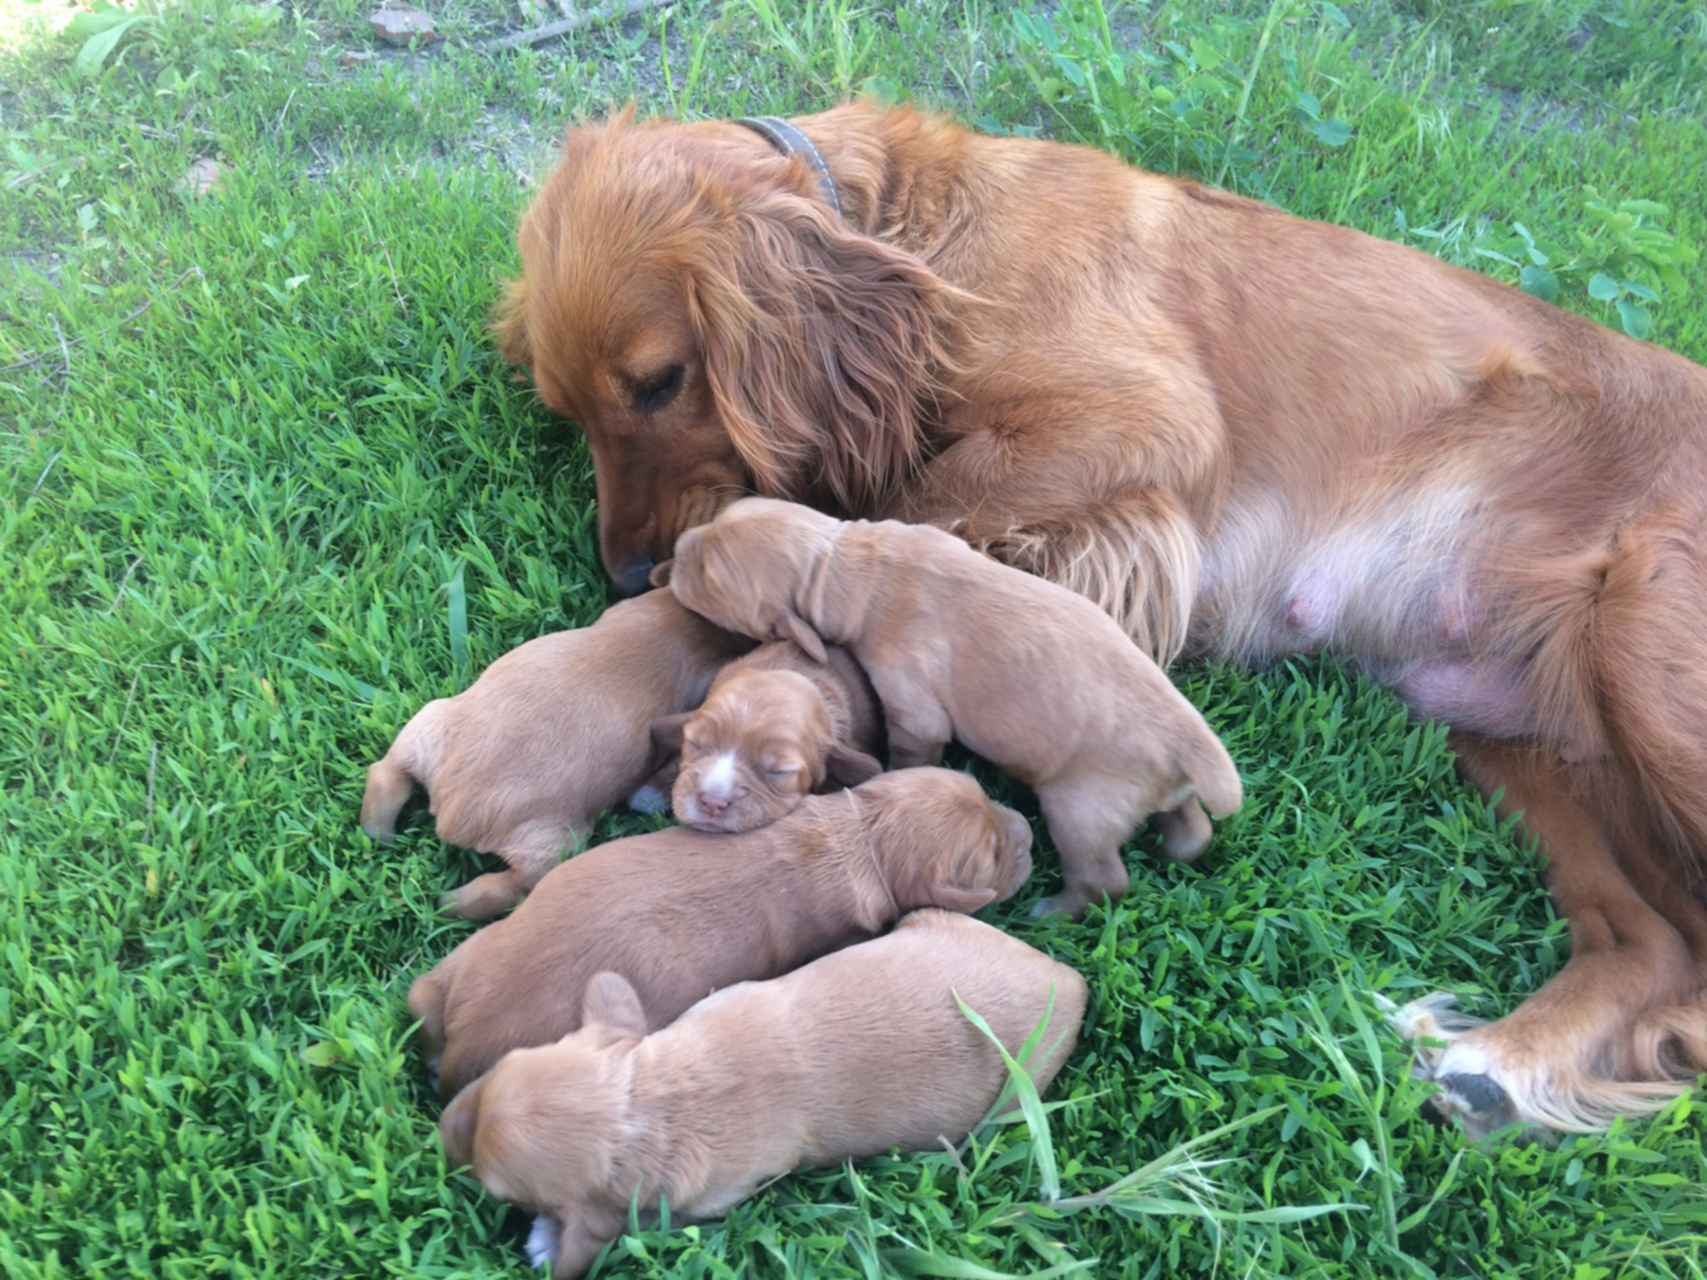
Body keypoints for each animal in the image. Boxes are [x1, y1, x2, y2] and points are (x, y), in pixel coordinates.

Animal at [358, 590, 747, 921]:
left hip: (428, 724)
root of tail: (454, 812)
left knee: (387, 774)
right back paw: (447, 899)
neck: (681, 631)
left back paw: (383, 838)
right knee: (509, 887)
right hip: (555, 845)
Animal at [406, 768, 1031, 1099]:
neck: (862, 839)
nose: (1028, 828)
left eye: (983, 792)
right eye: (991, 857)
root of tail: (464, 1041)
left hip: (459, 966)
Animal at [436, 914, 1078, 1280]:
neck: (659, 1099)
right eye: (499, 1068)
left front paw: (548, 1242)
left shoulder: (703, 1200)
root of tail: (1068, 980)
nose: (440, 1126)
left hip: (1009, 1103)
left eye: (499, 1189)